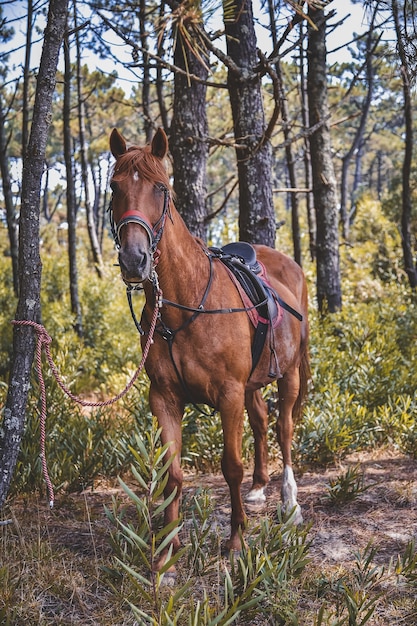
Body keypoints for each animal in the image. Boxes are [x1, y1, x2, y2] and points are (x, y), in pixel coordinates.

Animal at [109, 127, 310, 572]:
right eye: (114, 187)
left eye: (161, 188)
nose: (134, 259)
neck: (185, 304)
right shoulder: (164, 398)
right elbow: (172, 473)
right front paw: (168, 551)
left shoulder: (228, 394)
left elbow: (230, 466)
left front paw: (236, 542)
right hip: (253, 384)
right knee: (262, 421)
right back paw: (259, 487)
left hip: (288, 374)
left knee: (285, 427)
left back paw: (289, 502)